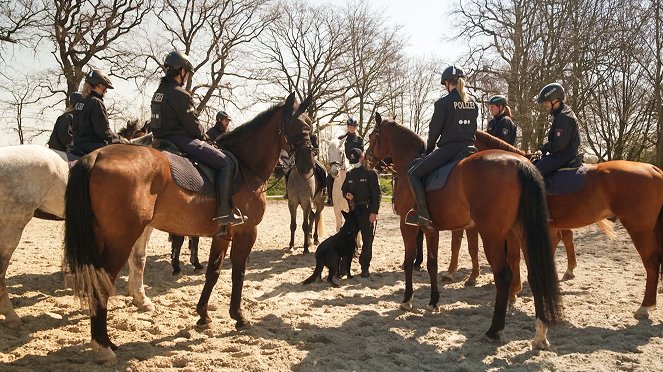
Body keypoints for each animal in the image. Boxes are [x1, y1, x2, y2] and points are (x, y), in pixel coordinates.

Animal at [62, 93, 314, 364]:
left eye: (310, 124)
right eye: (298, 125)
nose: (308, 165)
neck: (245, 165)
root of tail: (97, 156)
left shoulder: (222, 236)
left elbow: (213, 272)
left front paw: (203, 315)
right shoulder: (246, 233)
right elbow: (238, 273)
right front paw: (239, 317)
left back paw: (107, 342)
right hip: (120, 240)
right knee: (102, 282)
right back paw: (103, 346)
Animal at [366, 113, 564, 348]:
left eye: (372, 136)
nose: (365, 159)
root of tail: (519, 164)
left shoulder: (408, 227)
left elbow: (408, 262)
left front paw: (407, 300)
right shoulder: (431, 229)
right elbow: (432, 264)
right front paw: (433, 302)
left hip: (492, 236)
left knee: (503, 276)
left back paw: (493, 330)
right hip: (521, 233)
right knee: (535, 274)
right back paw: (540, 333)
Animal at [474, 130, 663, 316]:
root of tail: (653, 169)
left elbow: (516, 257)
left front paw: (514, 292)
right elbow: (516, 257)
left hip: (639, 227)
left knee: (651, 261)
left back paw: (645, 306)